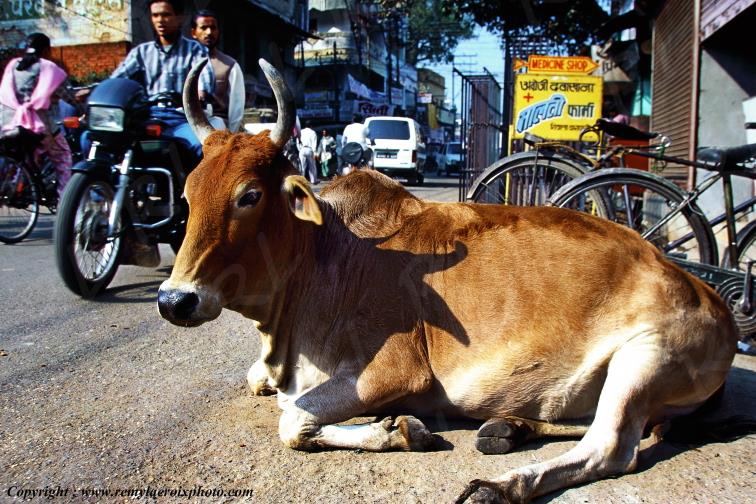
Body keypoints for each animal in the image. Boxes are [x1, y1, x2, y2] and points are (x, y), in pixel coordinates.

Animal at [157, 59, 737, 503]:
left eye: (249, 195)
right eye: (186, 194)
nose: (174, 300)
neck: (323, 256)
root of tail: (713, 297)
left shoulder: (393, 373)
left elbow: (292, 420)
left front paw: (402, 430)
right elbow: (267, 388)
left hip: (644, 356)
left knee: (611, 446)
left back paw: (500, 485)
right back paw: (509, 427)